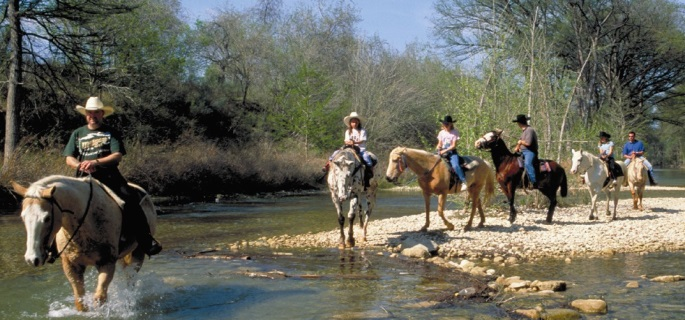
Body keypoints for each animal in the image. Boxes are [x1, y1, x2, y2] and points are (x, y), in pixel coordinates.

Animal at [12, 174, 157, 312]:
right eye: (23, 217)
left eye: (47, 218)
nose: (32, 259)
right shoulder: (71, 265)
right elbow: (80, 301)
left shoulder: (107, 263)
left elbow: (99, 298)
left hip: (138, 252)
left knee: (130, 279)